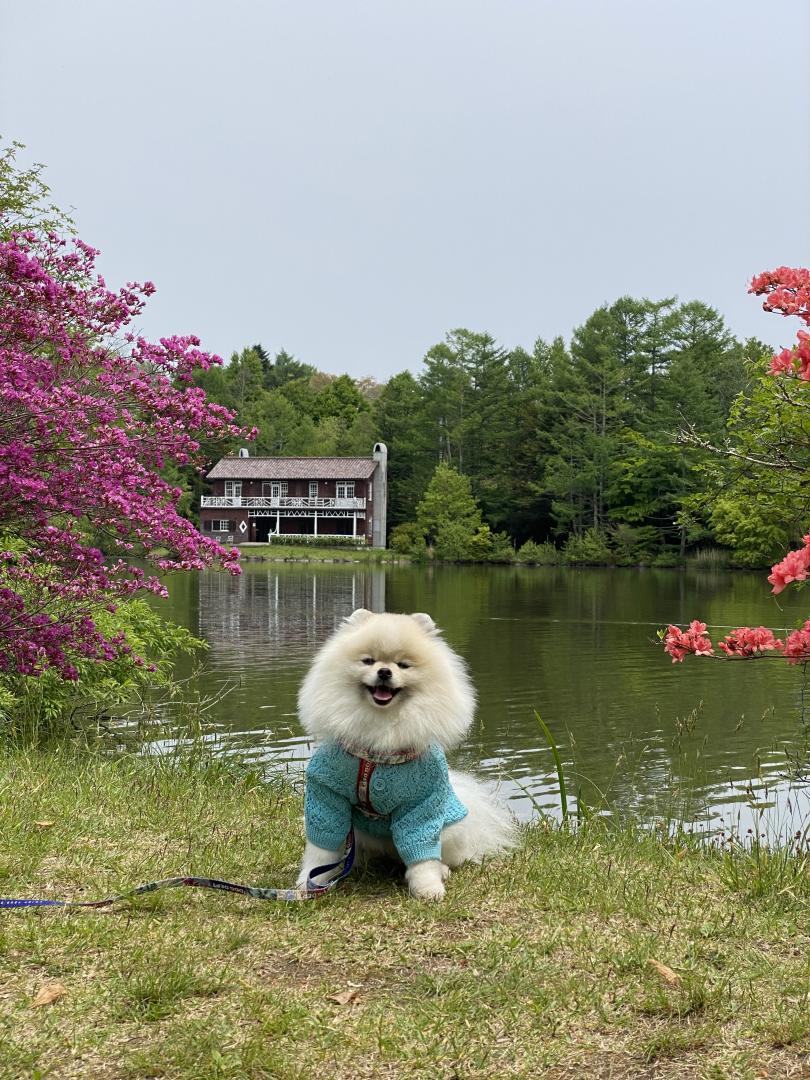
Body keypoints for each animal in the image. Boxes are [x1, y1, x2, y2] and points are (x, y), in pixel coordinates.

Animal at [295, 609, 516, 902]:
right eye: (368, 660)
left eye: (403, 665)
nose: (384, 671)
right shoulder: (328, 794)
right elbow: (321, 850)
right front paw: (308, 884)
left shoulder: (421, 801)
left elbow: (422, 855)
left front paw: (428, 888)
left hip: (449, 829)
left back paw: (441, 869)